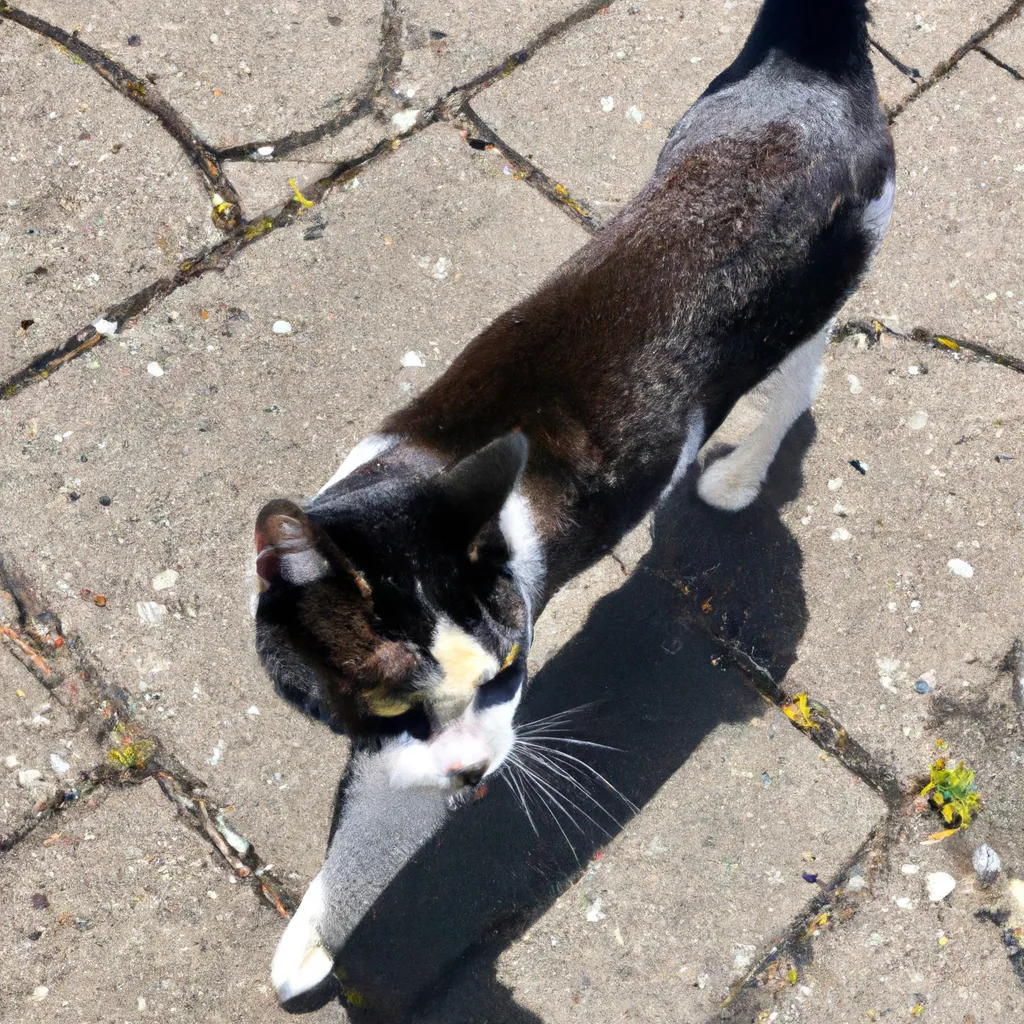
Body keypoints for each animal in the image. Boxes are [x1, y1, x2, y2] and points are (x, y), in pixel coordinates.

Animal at [256, 0, 897, 1007]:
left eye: (511, 671)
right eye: (397, 700)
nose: (481, 768)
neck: (410, 474)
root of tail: (815, 66)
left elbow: (378, 830)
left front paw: (311, 937)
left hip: (811, 301)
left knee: (799, 386)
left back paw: (737, 478)